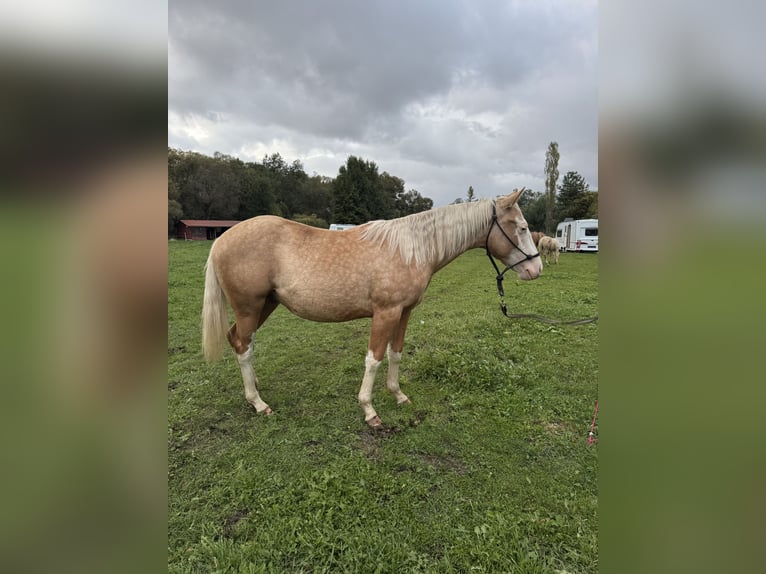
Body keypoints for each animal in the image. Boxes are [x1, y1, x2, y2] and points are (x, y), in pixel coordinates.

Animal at [202, 188, 542, 428]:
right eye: (521, 227)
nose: (535, 269)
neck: (411, 249)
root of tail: (222, 239)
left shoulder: (404, 312)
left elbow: (395, 354)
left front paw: (398, 395)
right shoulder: (385, 312)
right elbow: (374, 359)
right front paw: (369, 410)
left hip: (264, 306)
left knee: (238, 341)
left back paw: (254, 389)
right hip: (249, 307)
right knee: (243, 346)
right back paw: (258, 402)